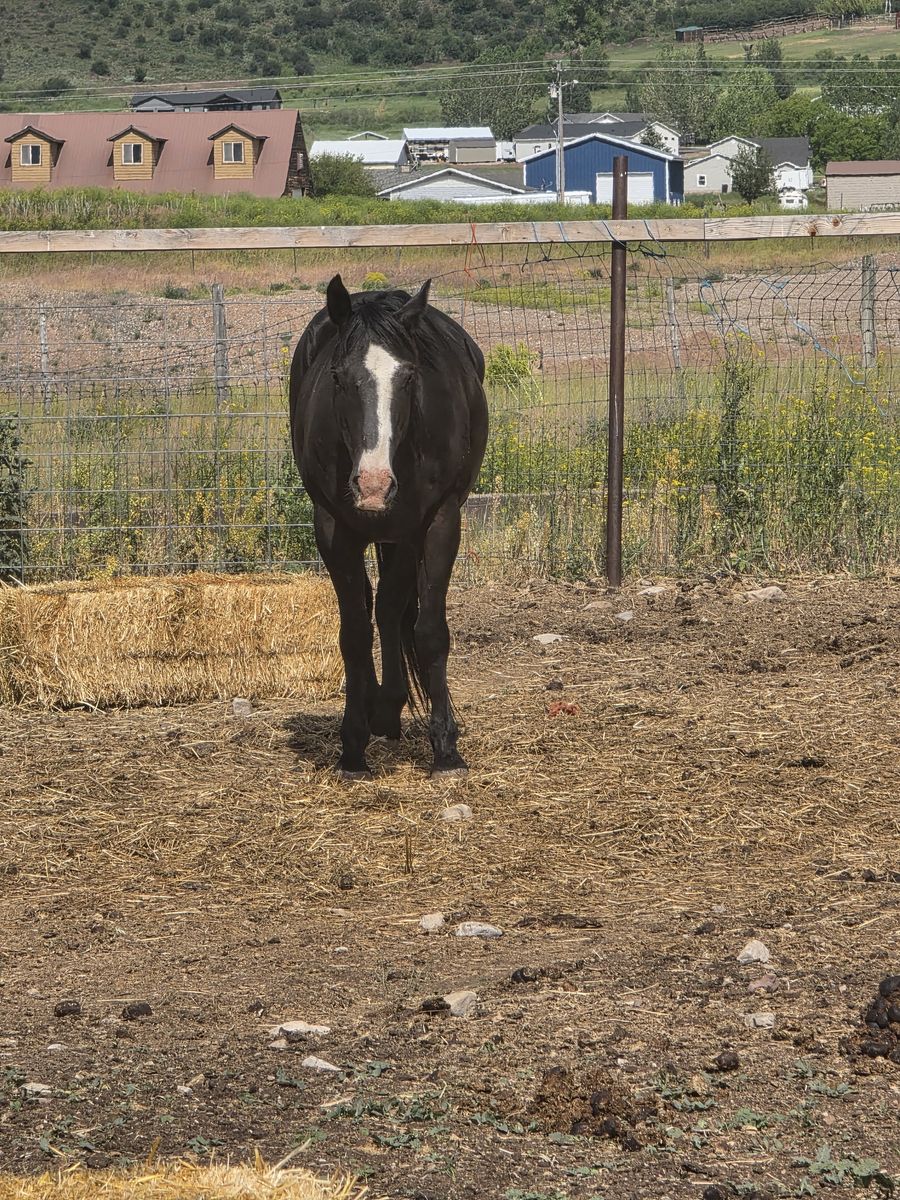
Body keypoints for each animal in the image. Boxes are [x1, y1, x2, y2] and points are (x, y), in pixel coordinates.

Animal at [289, 274, 488, 780]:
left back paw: (390, 709)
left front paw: (447, 751)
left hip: (404, 535)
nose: (374, 486)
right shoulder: (333, 529)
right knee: (374, 608)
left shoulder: (435, 522)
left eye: (410, 377)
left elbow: (428, 631)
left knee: (391, 608)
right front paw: (352, 748)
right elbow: (354, 635)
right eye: (338, 377)